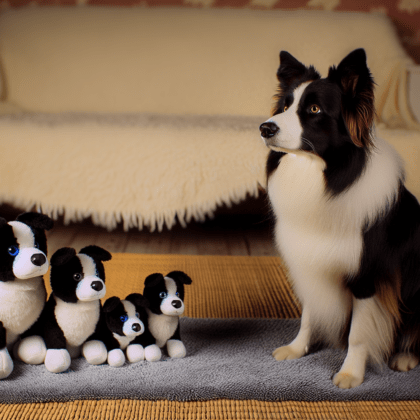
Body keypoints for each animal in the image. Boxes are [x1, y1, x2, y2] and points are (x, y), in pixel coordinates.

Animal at [0, 212, 53, 378]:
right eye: (12, 250)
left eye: (37, 245)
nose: (39, 258)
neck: (18, 284)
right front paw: (2, 364)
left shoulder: (37, 313)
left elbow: (33, 328)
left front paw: (32, 346)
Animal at [260, 48, 420, 388]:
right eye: (285, 106)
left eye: (314, 109)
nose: (264, 128)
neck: (326, 177)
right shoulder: (311, 261)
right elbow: (309, 316)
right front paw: (297, 349)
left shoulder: (367, 277)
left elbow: (359, 333)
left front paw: (350, 374)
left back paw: (405, 356)